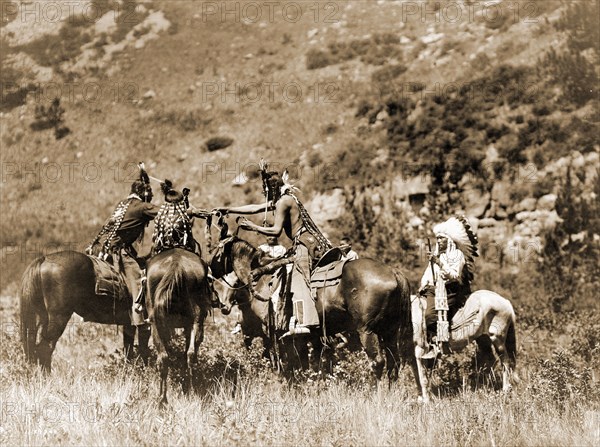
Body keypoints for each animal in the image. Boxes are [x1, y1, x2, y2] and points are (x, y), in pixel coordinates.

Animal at [19, 250, 150, 372]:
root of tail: (44, 259)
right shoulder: (145, 324)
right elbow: (144, 350)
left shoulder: (130, 324)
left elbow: (129, 350)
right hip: (59, 318)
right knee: (45, 348)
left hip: (43, 317)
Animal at [144, 248, 212, 406]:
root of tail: (176, 265)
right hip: (194, 319)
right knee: (190, 354)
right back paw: (188, 392)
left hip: (156, 322)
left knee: (165, 358)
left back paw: (163, 399)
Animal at [209, 236, 414, 384]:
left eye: (217, 250)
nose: (209, 269)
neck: (263, 276)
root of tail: (394, 272)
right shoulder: (310, 335)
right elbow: (310, 363)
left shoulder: (272, 331)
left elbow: (281, 361)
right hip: (390, 331)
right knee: (394, 363)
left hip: (367, 330)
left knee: (377, 362)